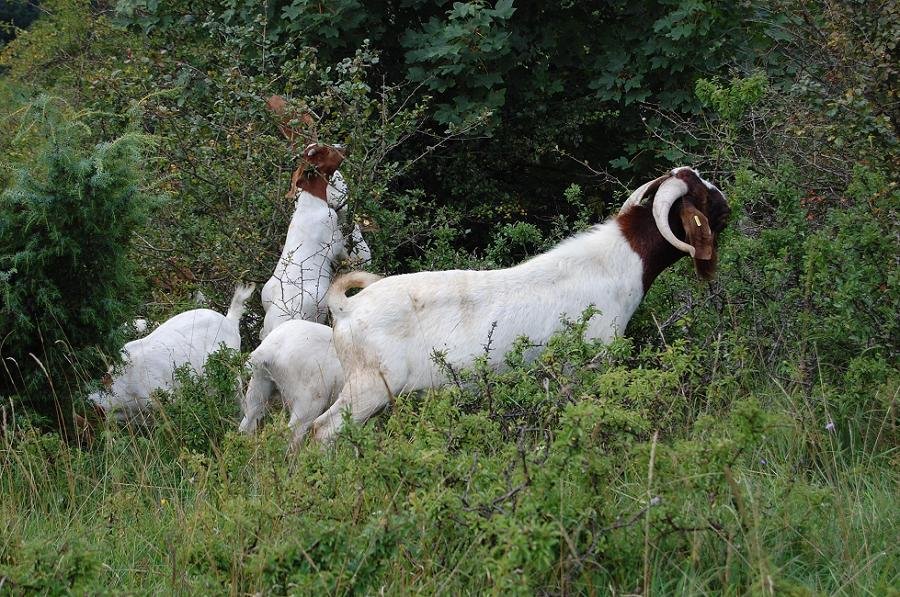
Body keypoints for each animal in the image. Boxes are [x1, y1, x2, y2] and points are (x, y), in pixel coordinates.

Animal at [312, 165, 732, 440]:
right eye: (701, 195)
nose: (727, 203)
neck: (615, 264)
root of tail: (346, 309)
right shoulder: (588, 362)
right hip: (367, 386)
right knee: (321, 431)